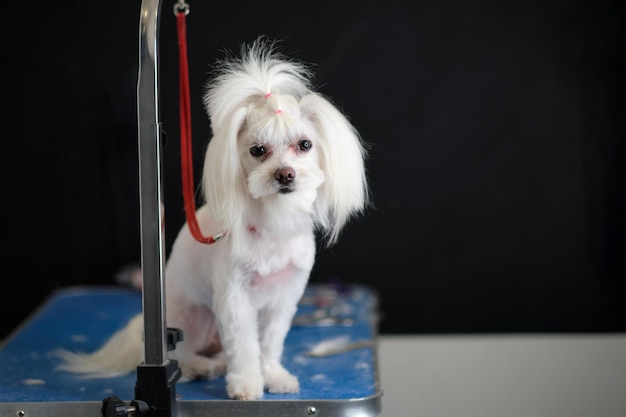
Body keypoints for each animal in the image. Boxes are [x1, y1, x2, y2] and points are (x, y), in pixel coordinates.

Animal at [56, 37, 368, 402]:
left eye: (304, 144)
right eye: (257, 150)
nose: (284, 174)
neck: (272, 223)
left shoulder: (283, 298)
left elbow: (270, 343)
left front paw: (274, 376)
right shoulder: (233, 299)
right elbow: (244, 348)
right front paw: (247, 384)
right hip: (189, 320)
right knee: (184, 352)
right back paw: (202, 367)